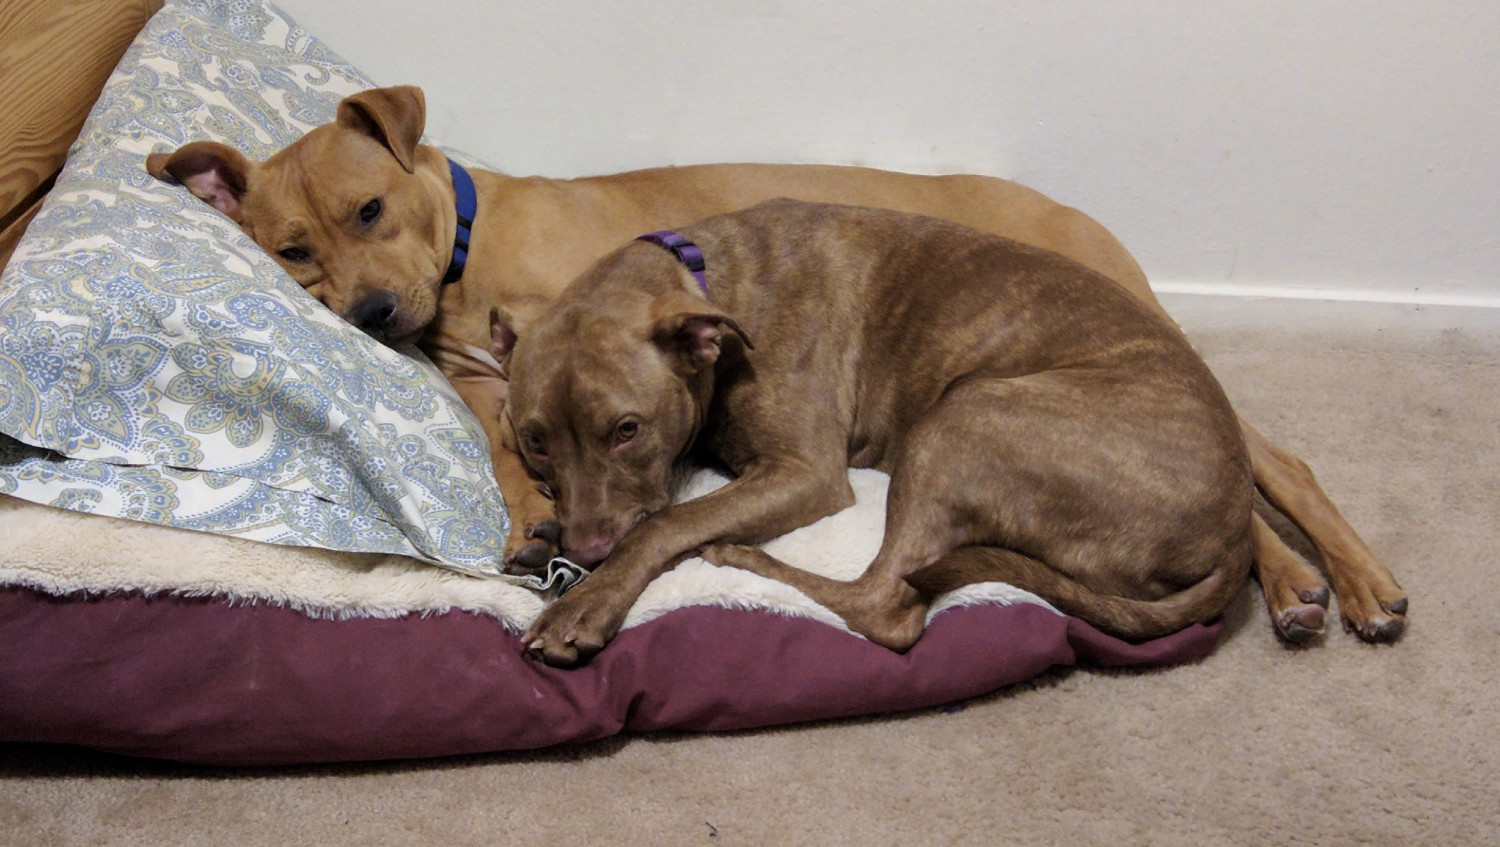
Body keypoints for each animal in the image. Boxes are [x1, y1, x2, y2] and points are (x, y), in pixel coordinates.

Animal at [504, 199, 1254, 668]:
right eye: (534, 439)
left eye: (627, 429)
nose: (587, 550)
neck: (712, 283)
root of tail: (1235, 533)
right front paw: (547, 539)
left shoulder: (804, 471)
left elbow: (665, 523)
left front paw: (586, 603)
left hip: (959, 420)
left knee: (884, 606)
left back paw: (740, 557)